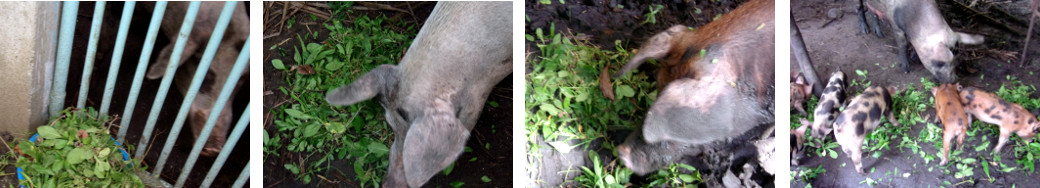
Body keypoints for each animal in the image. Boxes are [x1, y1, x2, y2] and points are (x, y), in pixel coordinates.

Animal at [856, 0, 985, 83]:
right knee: (860, 8)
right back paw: (865, 30)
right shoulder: (896, 26)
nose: (953, 81)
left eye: (955, 61)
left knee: (872, 12)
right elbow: (902, 45)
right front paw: (906, 69)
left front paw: (915, 59)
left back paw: (880, 35)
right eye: (939, 63)